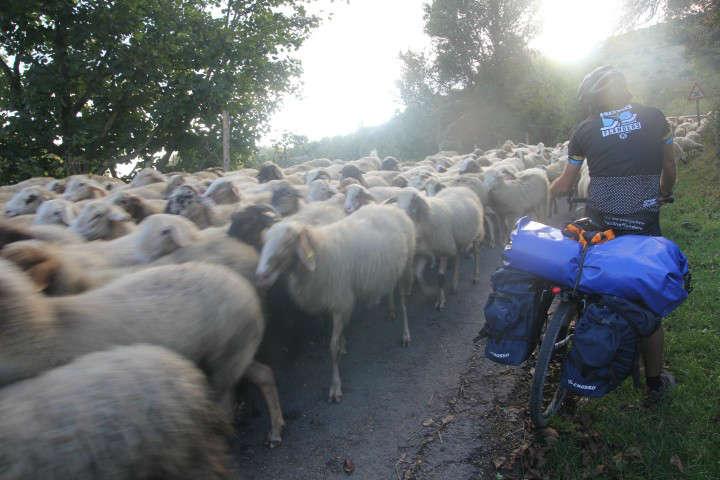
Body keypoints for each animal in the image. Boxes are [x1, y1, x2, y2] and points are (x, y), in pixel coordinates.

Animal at [0, 258, 284, 446]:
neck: (45, 328)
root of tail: (245, 285)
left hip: (227, 356)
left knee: (227, 400)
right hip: (233, 354)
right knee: (263, 374)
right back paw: (275, 429)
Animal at [255, 204, 414, 404]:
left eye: (287, 244)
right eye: (264, 242)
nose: (260, 277)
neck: (319, 253)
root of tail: (392, 207)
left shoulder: (340, 302)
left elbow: (332, 347)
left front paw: (335, 386)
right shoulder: (335, 303)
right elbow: (338, 337)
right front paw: (344, 344)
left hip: (406, 267)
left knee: (405, 303)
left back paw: (406, 334)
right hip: (391, 269)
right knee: (390, 287)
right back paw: (391, 310)